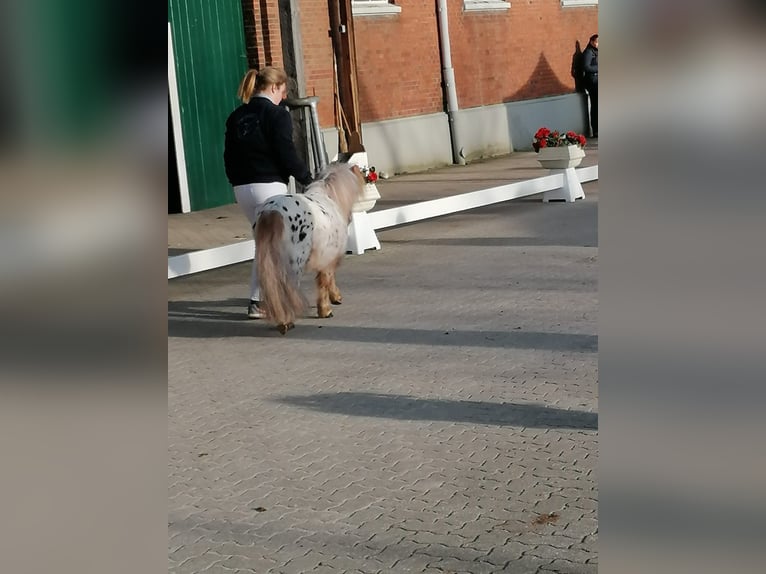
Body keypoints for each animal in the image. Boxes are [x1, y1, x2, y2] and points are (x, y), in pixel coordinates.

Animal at [255, 163, 366, 332]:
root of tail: (272, 211)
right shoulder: (328, 258)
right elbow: (325, 280)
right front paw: (326, 309)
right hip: (294, 265)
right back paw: (286, 321)